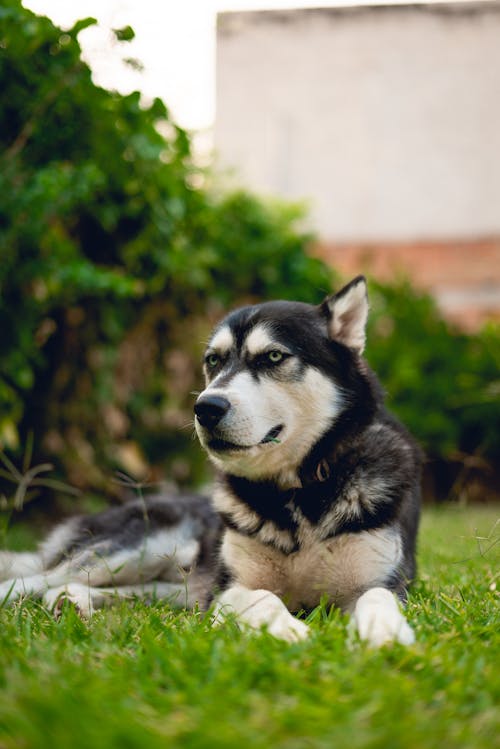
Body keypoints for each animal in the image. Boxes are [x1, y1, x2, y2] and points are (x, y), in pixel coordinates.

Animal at [1, 278, 420, 644]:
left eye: (273, 356)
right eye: (214, 361)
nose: (205, 407)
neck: (299, 492)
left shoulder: (381, 581)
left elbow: (377, 597)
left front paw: (383, 632)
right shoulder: (225, 589)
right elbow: (263, 597)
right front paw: (289, 630)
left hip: (172, 583)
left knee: (124, 589)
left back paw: (72, 601)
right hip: (139, 547)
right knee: (33, 580)